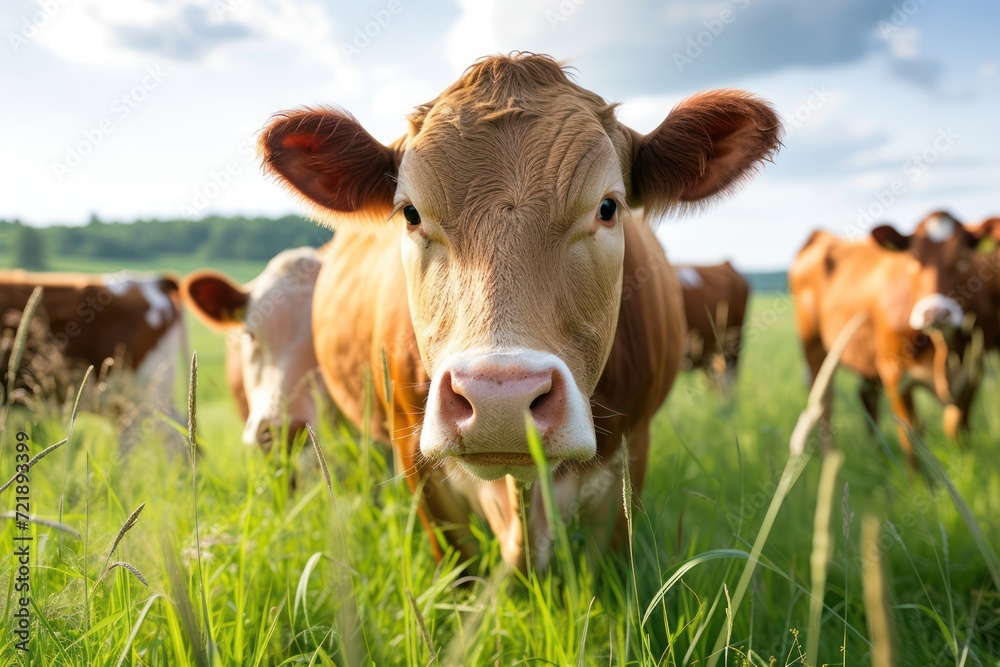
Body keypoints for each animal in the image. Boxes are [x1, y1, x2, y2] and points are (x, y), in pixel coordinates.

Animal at [792, 211, 988, 468]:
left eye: (964, 258)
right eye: (914, 259)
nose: (936, 314)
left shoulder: (972, 371)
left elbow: (958, 429)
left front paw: (964, 464)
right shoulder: (893, 372)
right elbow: (910, 440)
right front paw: (919, 480)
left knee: (866, 395)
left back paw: (880, 456)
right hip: (815, 348)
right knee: (823, 403)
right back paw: (830, 458)